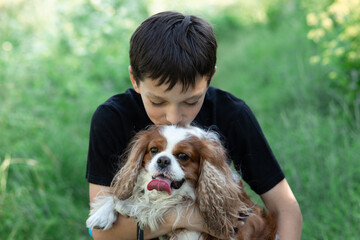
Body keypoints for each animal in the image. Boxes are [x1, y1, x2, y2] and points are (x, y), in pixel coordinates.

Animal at [86, 124, 278, 239]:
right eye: (153, 150)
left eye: (183, 156)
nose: (163, 160)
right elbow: (120, 194)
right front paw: (102, 213)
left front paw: (131, 206)